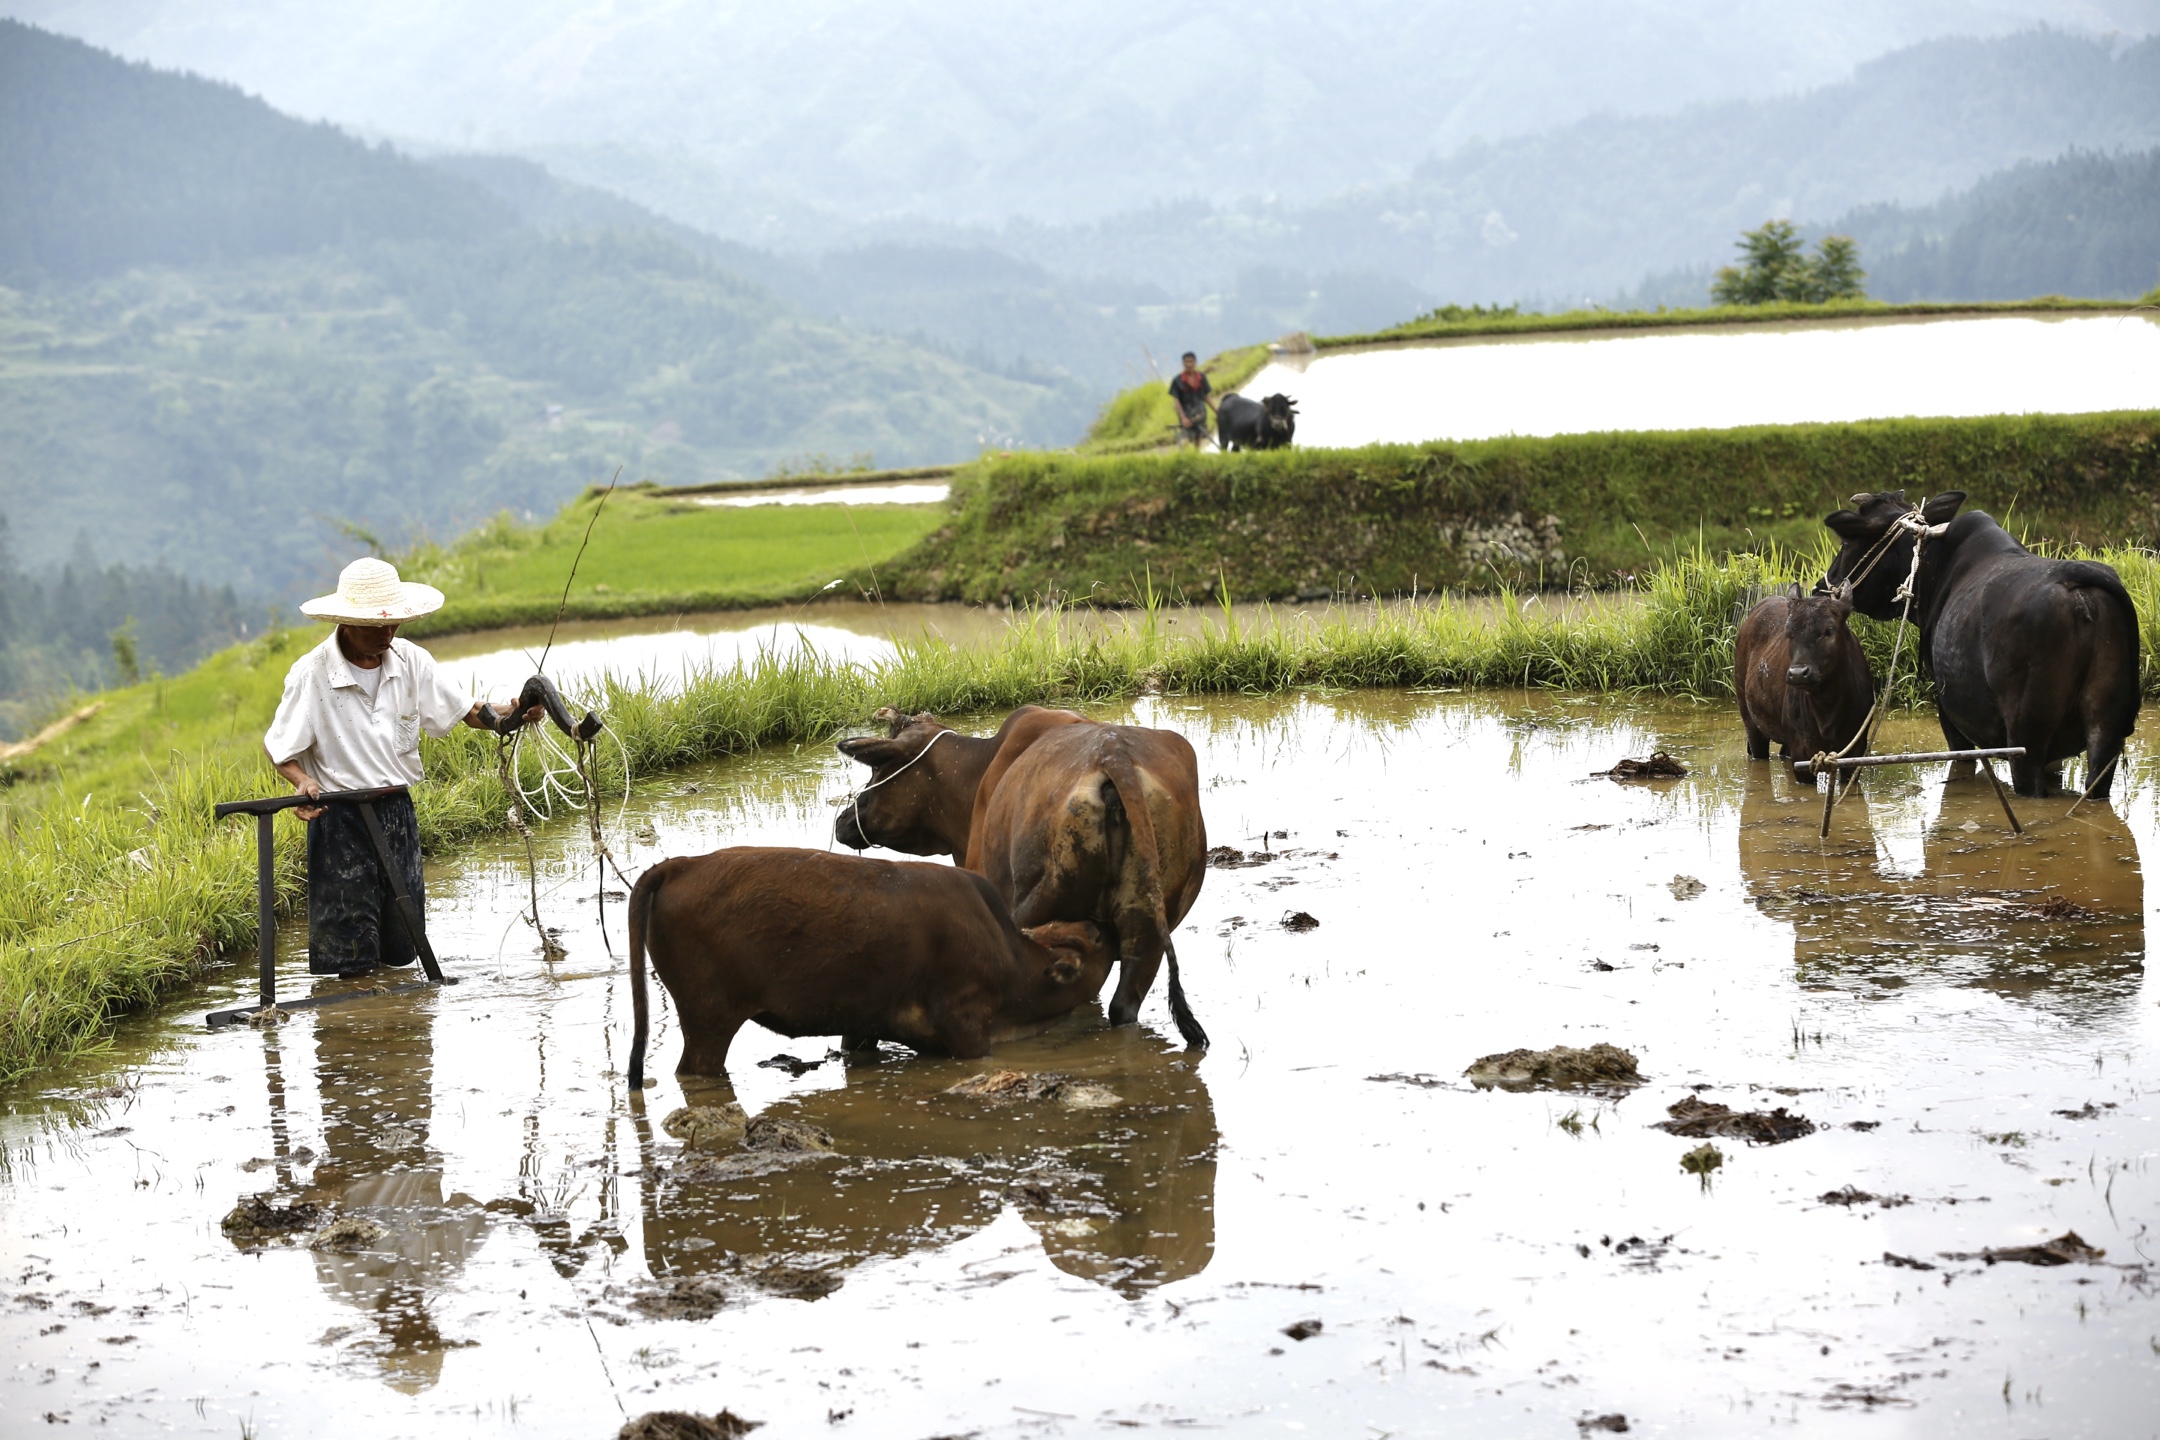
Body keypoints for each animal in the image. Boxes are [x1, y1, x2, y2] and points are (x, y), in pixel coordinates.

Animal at [626, 850, 1114, 1088]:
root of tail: (681, 866)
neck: (1012, 957)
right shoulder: (965, 1021)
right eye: (1095, 940)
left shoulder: (863, 1024)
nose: (1102, 923)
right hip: (710, 1018)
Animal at [1736, 591, 1874, 781]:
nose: (1798, 673)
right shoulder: (1802, 751)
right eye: (1789, 633)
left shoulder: (1856, 748)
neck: (1827, 707)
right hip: (1751, 721)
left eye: (1828, 630)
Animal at [1823, 490, 2142, 794]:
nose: (1821, 587)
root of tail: (2076, 586)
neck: (1933, 569)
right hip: (2105, 731)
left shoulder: (1949, 710)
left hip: (2026, 739)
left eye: (1846, 544)